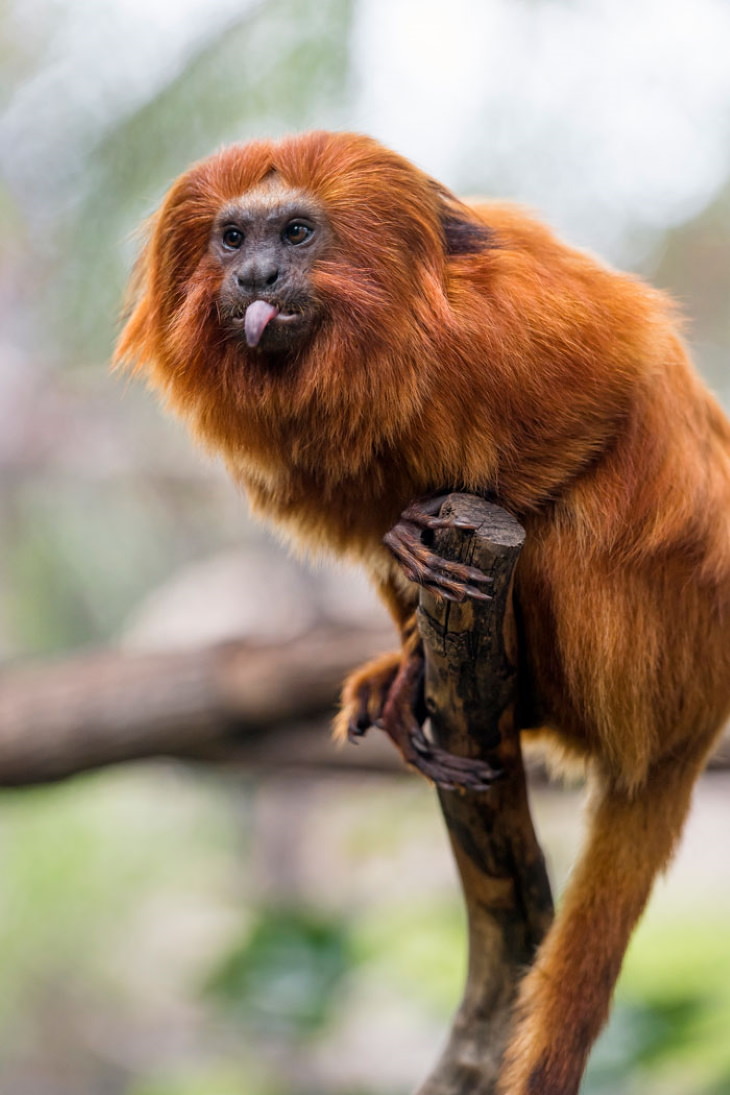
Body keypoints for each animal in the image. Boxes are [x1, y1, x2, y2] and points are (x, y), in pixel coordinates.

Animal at [112, 130, 730, 1095]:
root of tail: (700, 713)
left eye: (296, 233)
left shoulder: (509, 323)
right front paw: (402, 655)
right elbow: (374, 535)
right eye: (232, 238)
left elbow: (621, 376)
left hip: (649, 642)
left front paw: (424, 543)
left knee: (575, 522)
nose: (255, 276)